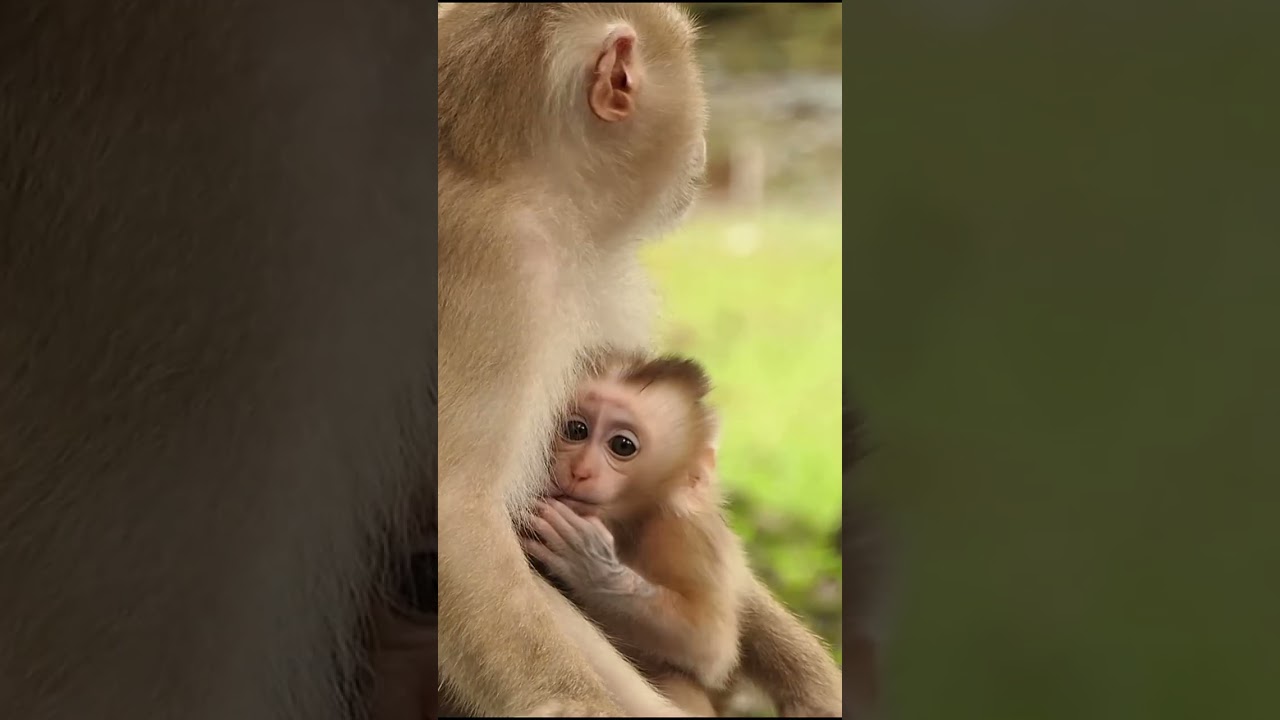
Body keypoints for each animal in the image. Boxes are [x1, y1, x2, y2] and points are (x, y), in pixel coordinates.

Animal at [522, 350, 845, 717]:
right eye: (576, 429)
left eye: (622, 445)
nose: (580, 471)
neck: (625, 522)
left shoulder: (684, 534)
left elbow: (710, 643)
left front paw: (593, 568)